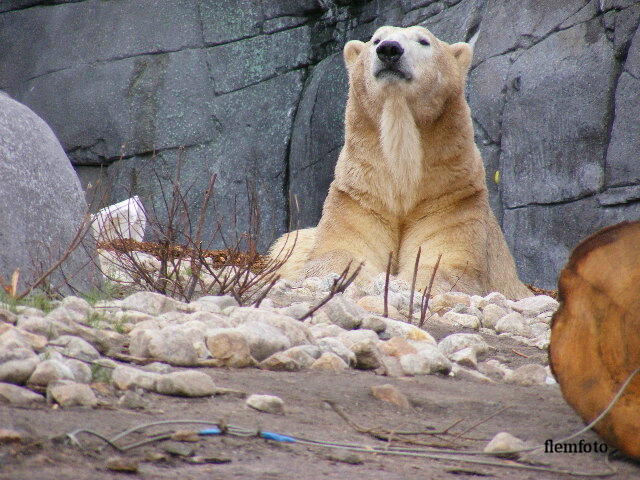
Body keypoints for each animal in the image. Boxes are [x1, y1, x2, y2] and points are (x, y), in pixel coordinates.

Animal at [270, 26, 528, 298]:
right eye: (376, 40)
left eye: (424, 41)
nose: (390, 49)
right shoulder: (360, 194)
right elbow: (338, 253)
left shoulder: (452, 197)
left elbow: (445, 265)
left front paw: (399, 285)